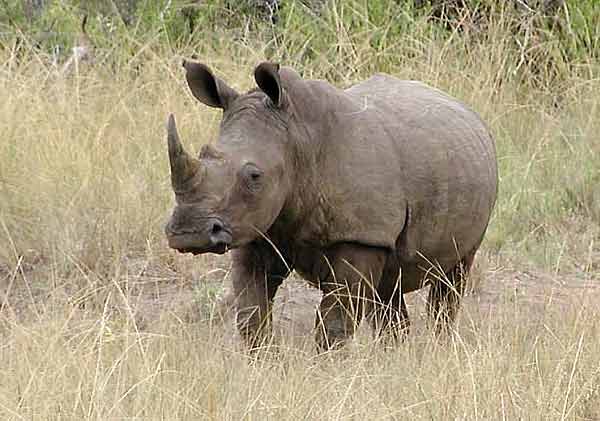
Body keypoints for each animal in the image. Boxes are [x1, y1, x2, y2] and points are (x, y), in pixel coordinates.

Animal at [164, 58, 496, 348]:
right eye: (204, 154)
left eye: (254, 176)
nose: (189, 233)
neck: (296, 138)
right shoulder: (253, 228)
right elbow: (251, 314)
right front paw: (265, 366)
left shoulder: (360, 236)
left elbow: (334, 322)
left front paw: (327, 369)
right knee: (389, 289)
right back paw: (395, 355)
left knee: (452, 279)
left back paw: (439, 346)